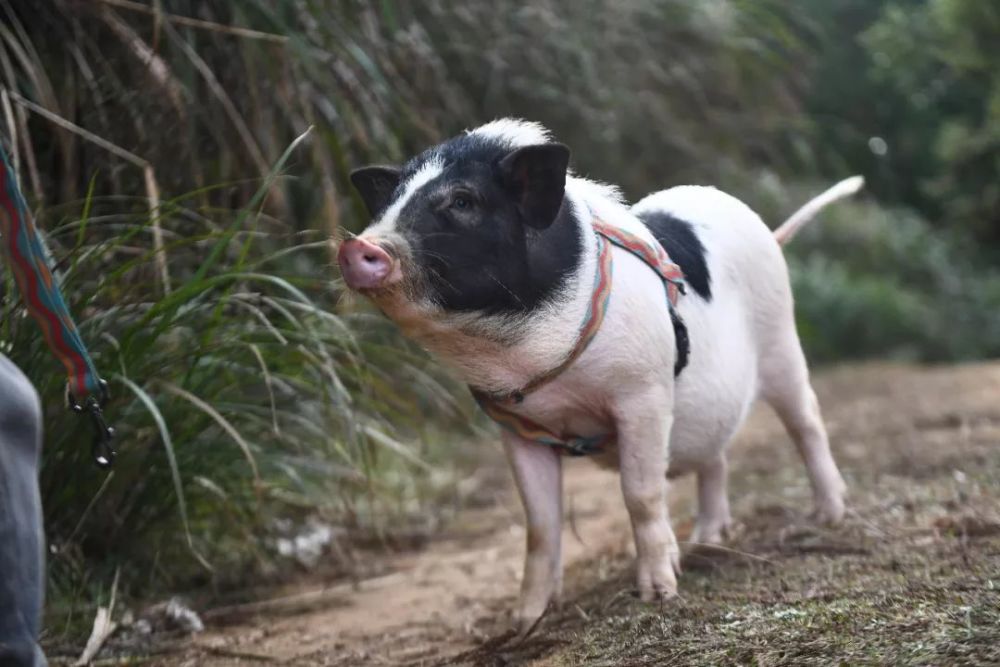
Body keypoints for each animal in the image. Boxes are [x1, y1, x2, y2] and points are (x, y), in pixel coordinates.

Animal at [340, 117, 856, 636]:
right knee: (717, 457)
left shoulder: (642, 392)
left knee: (807, 422)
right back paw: (706, 542)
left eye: (463, 201)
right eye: (389, 200)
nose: (357, 245)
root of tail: (761, 226)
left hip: (781, 337)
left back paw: (830, 516)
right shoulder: (515, 428)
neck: (521, 358)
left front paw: (658, 594)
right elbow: (540, 525)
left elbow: (641, 494)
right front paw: (523, 623)